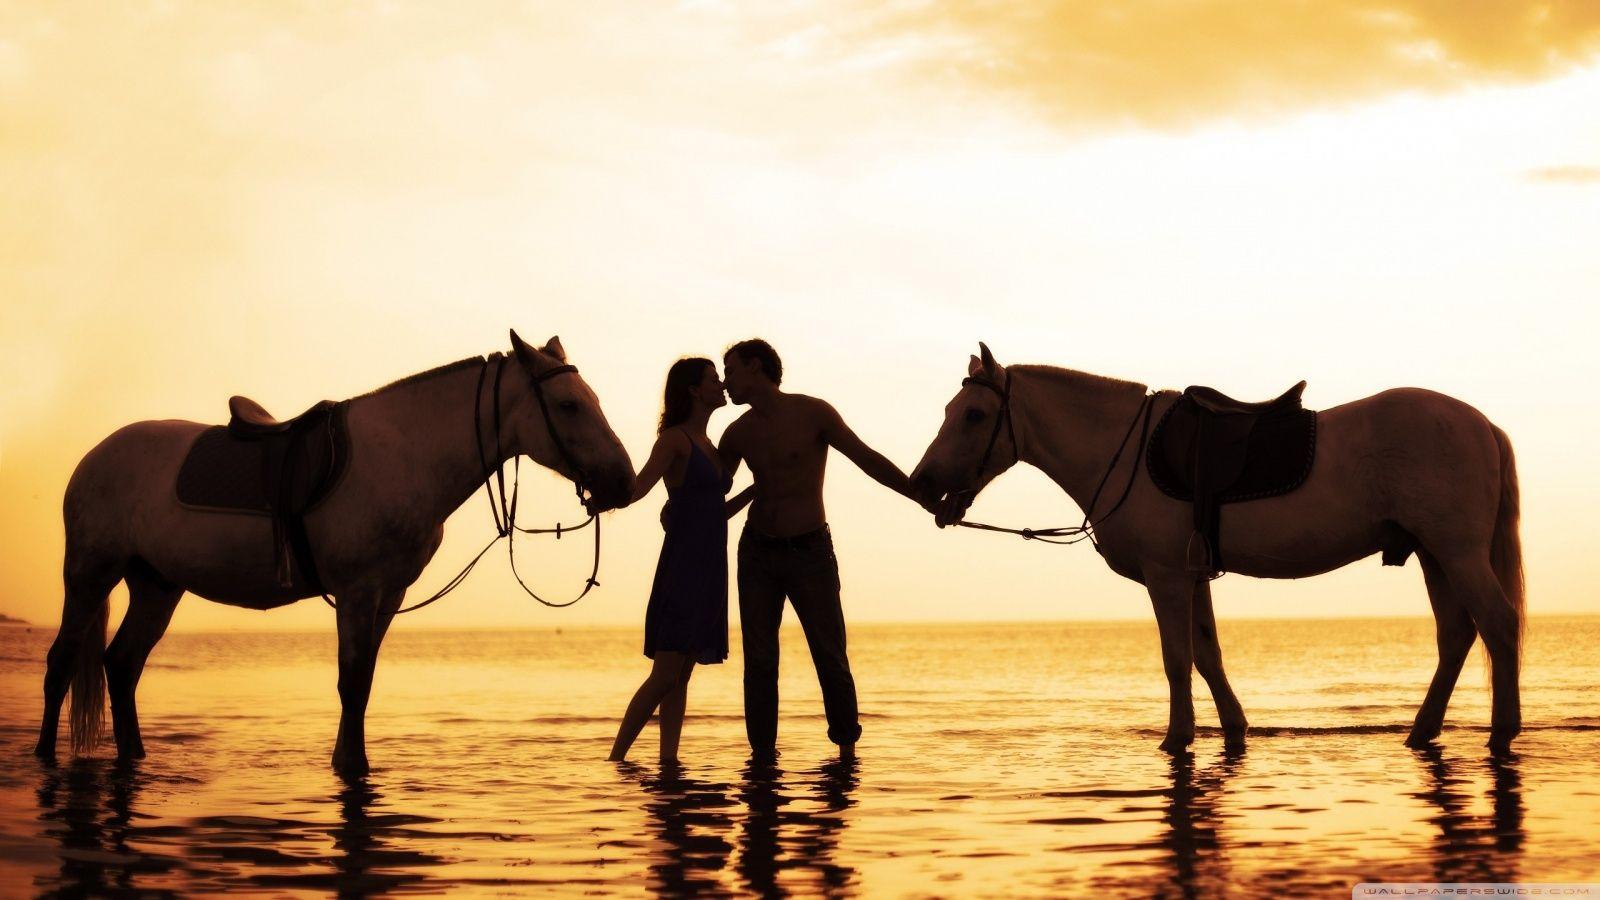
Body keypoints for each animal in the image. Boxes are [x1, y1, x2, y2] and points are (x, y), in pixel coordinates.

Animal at [35, 331, 636, 775]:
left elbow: (363, 681)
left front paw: (351, 761)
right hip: (89, 573)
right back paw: (44, 755)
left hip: (157, 585)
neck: (407, 455)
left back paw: (136, 756)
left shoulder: (388, 595)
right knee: (63, 661)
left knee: (122, 664)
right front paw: (350, 766)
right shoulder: (357, 592)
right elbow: (351, 681)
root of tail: (96, 456)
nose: (623, 482)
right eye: (567, 405)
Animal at [909, 343, 1524, 755]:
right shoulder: (1194, 574)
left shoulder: (1166, 577)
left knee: (1497, 622)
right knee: (1456, 636)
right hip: (1434, 555)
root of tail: (1483, 424)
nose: (922, 482)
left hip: (1457, 551)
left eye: (974, 415)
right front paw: (1233, 727)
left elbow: (1176, 658)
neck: (1122, 450)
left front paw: (1176, 737)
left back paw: (1502, 730)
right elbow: (1208, 654)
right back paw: (1422, 730)